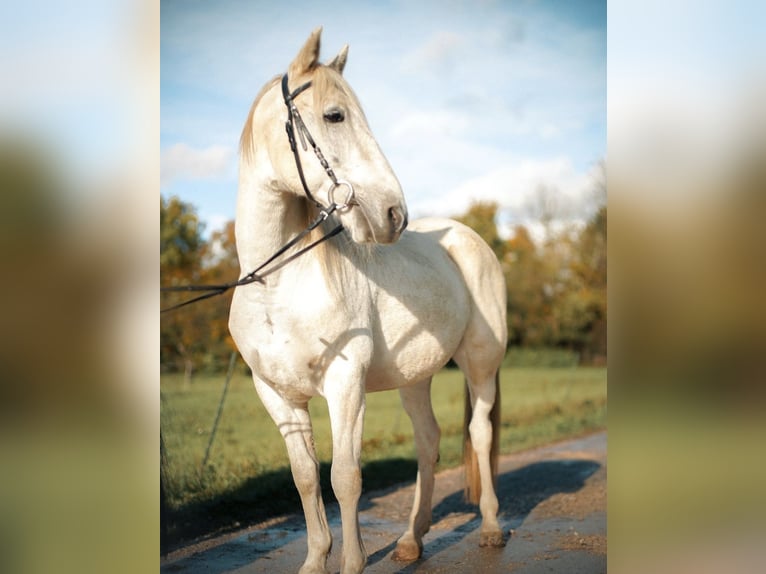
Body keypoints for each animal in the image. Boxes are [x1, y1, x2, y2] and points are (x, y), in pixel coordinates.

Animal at [229, 28, 507, 574]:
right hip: (415, 378)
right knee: (428, 440)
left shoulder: (345, 385)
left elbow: (346, 478)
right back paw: (412, 539)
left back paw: (488, 527)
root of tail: (471, 240)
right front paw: (316, 559)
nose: (394, 213)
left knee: (480, 435)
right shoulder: (278, 396)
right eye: (335, 115)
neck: (277, 286)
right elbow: (306, 478)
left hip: (480, 367)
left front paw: (351, 562)